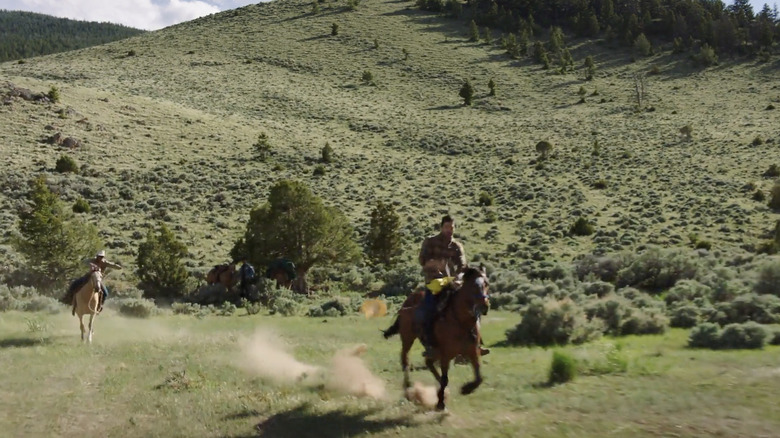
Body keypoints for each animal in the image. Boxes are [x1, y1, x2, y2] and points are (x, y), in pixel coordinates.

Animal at [382, 266, 488, 412]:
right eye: (472, 285)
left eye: (486, 284)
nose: (484, 306)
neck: (461, 323)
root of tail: (406, 302)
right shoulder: (446, 355)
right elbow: (445, 378)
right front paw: (440, 403)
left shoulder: (473, 352)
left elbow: (479, 378)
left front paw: (466, 389)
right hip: (408, 339)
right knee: (405, 361)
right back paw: (408, 388)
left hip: (434, 351)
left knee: (428, 362)